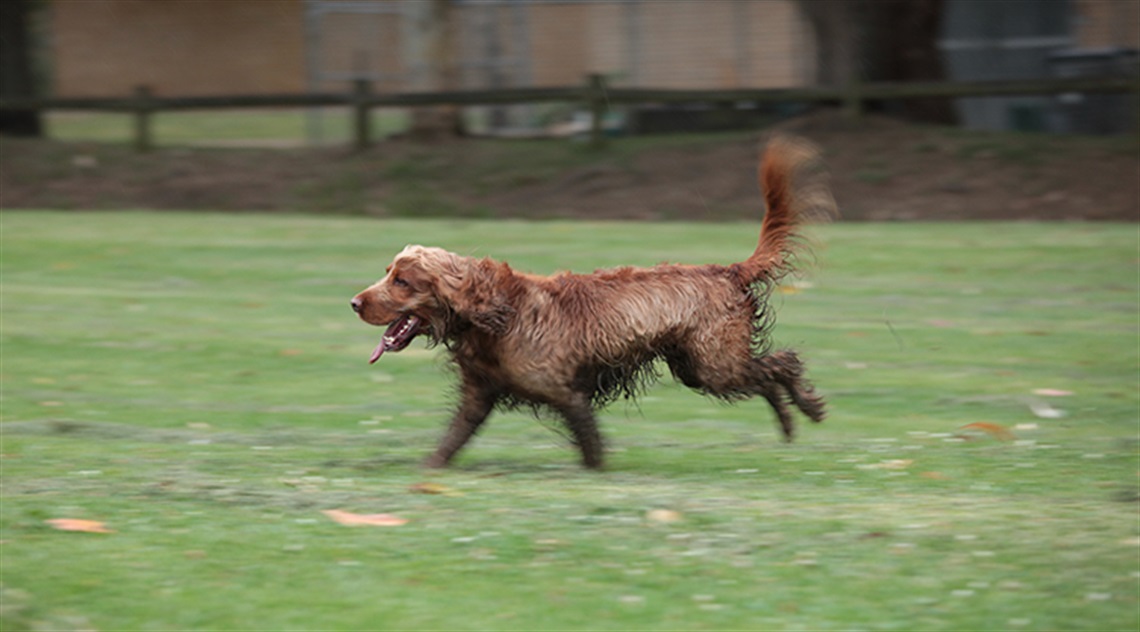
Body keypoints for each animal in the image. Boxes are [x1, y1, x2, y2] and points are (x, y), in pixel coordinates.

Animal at [351, 135, 834, 465]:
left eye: (402, 281)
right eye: (388, 273)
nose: (354, 303)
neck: (493, 315)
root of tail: (728, 270)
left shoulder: (567, 394)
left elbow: (591, 448)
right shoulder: (478, 397)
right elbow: (448, 445)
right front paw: (427, 473)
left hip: (715, 365)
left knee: (783, 363)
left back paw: (808, 408)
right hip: (697, 367)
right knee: (769, 374)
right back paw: (789, 423)